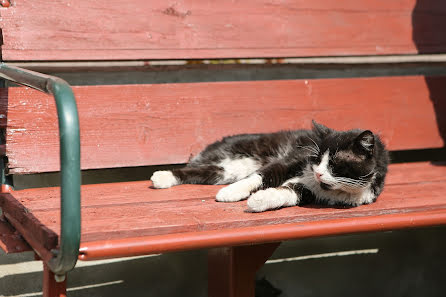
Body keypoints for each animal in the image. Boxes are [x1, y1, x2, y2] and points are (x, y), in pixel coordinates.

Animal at [150, 121, 386, 212]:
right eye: (316, 159)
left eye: (335, 163)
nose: (318, 173)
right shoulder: (291, 160)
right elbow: (262, 176)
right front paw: (231, 192)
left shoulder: (310, 191)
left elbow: (287, 193)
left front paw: (259, 201)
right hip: (238, 159)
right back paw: (161, 177)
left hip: (228, 169)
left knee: (206, 172)